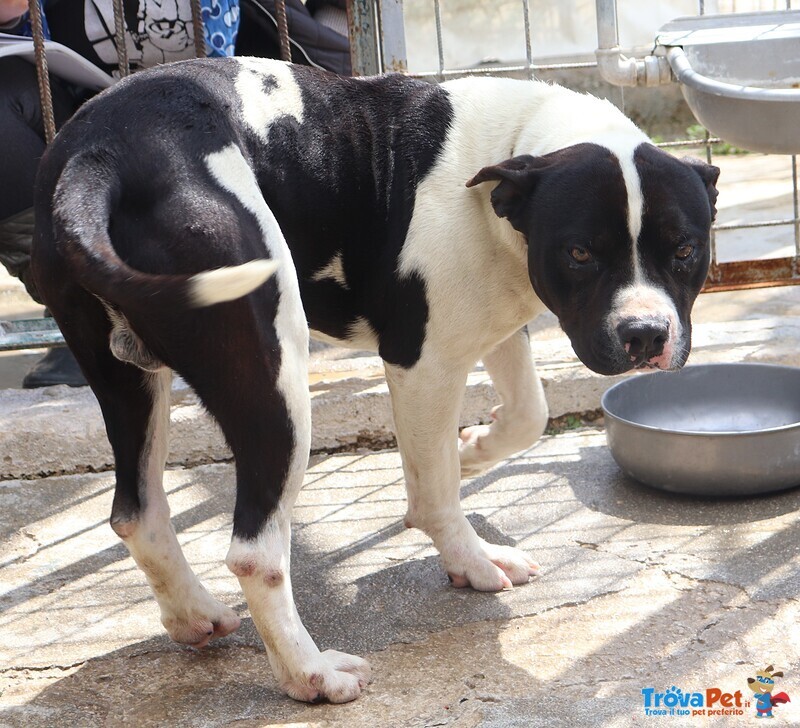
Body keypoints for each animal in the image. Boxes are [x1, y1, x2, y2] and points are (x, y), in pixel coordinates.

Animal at [32, 59, 720, 704]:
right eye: (580, 253)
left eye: (685, 249)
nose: (644, 335)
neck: (513, 158)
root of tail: (101, 153)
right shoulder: (425, 362)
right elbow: (435, 490)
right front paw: (470, 559)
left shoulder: (492, 322)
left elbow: (530, 413)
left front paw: (476, 448)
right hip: (273, 378)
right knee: (255, 550)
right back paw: (311, 674)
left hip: (130, 380)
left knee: (137, 511)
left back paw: (193, 614)